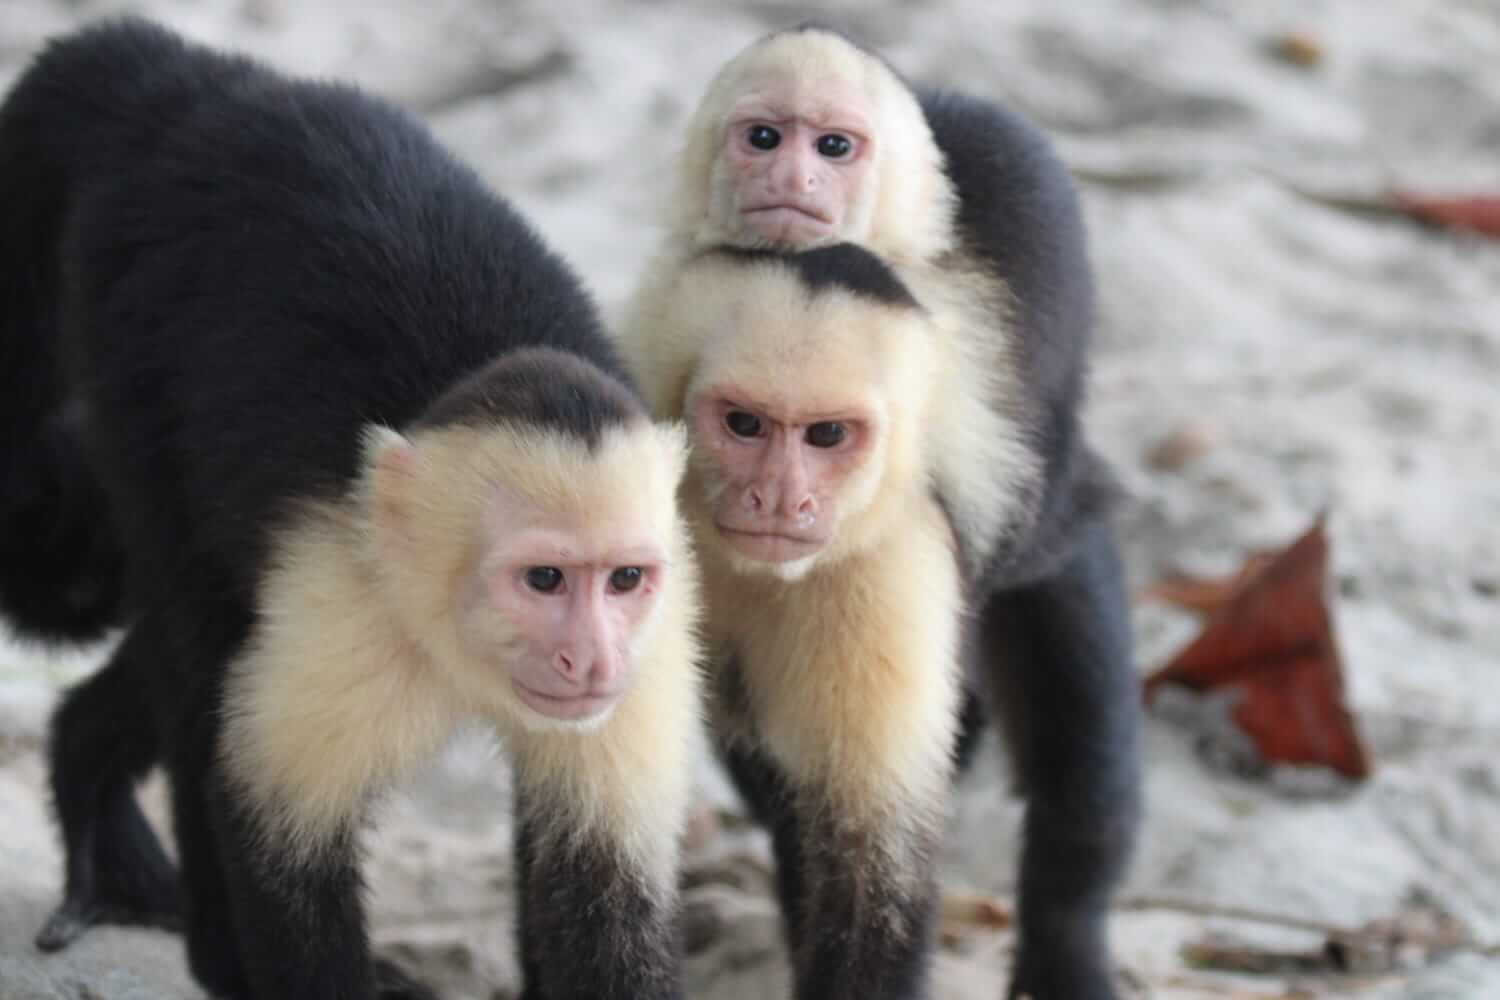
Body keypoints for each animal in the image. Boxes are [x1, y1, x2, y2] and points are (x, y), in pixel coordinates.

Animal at [1, 17, 702, 1000]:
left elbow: (602, 895)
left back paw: (88, 769)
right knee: (196, 639)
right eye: (544, 579)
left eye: (625, 580)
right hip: (127, 342)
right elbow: (275, 830)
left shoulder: (655, 645)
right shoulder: (344, 602)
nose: (591, 657)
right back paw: (214, 952)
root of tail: (193, 81)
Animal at [615, 21, 1140, 1000]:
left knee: (1078, 753)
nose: (778, 496)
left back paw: (1069, 933)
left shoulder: (898, 560)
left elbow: (876, 878)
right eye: (743, 426)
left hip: (1062, 541)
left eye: (827, 436)